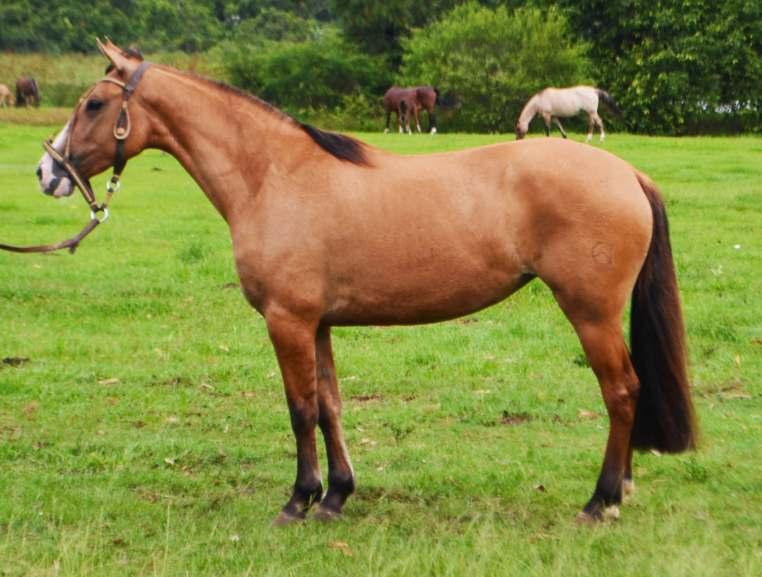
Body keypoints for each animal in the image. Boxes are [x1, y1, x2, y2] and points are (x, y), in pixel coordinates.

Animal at [35, 40, 696, 528]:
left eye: (93, 104)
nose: (47, 172)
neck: (274, 176)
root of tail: (627, 173)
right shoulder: (318, 324)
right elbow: (330, 406)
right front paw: (335, 496)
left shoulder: (288, 322)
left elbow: (300, 409)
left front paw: (298, 500)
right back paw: (620, 491)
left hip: (591, 313)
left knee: (622, 392)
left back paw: (600, 501)